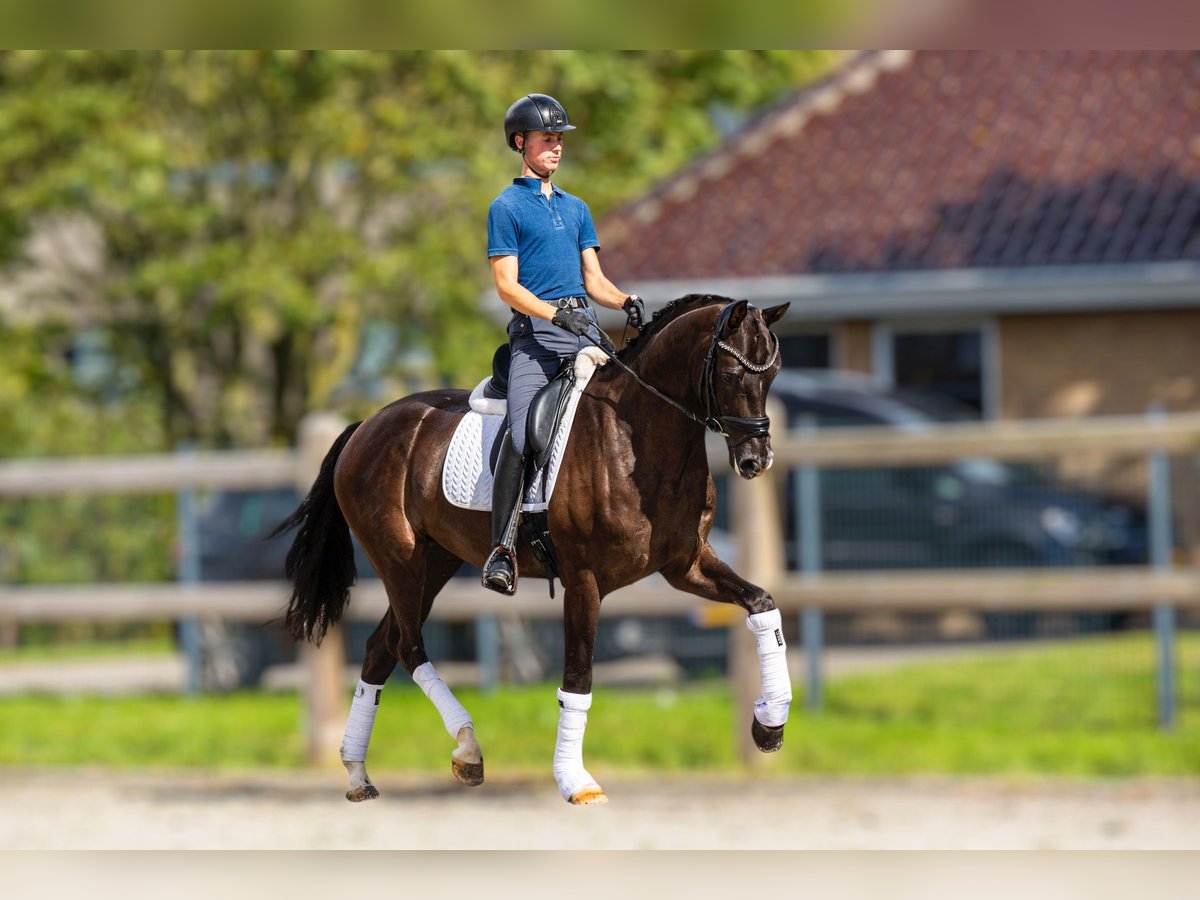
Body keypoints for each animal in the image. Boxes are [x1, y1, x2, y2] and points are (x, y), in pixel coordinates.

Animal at [276, 292, 792, 806]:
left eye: (774, 373)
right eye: (731, 374)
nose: (756, 460)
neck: (637, 435)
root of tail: (368, 424)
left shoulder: (685, 564)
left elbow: (762, 605)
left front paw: (769, 724)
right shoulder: (585, 581)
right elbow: (577, 681)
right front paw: (575, 781)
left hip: (435, 563)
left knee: (380, 649)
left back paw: (358, 774)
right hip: (399, 559)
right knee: (407, 645)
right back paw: (467, 748)